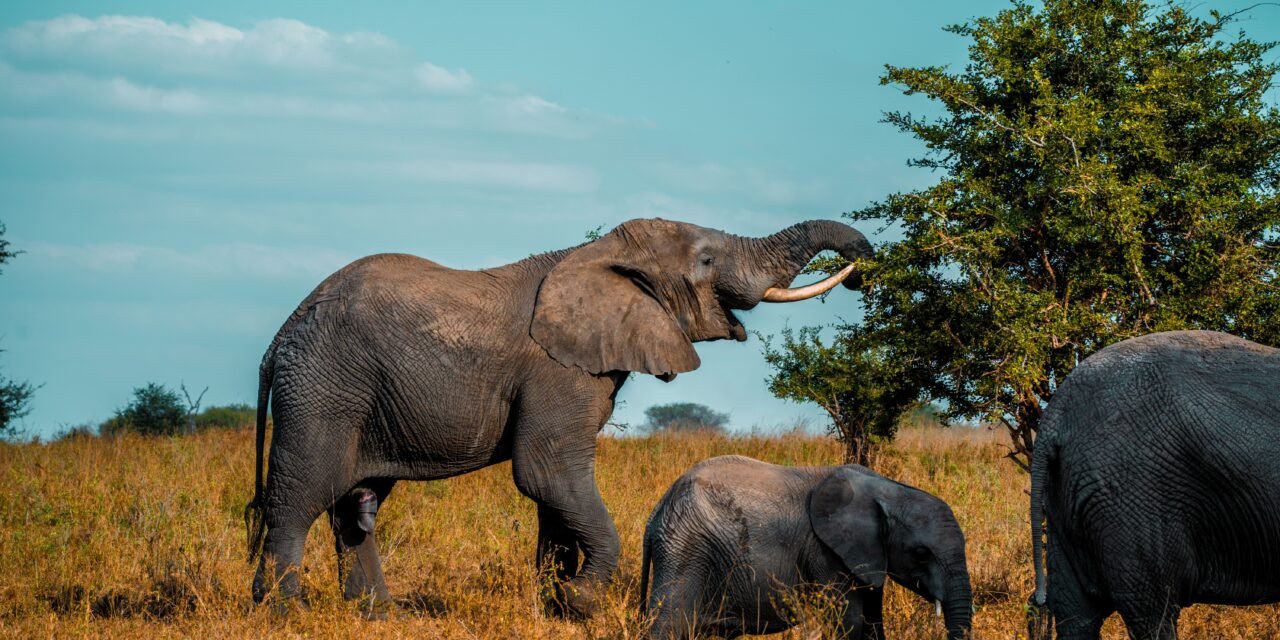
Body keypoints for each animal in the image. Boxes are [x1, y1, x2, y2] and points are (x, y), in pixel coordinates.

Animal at [242, 217, 873, 617]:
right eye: (707, 260)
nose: (864, 268)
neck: (598, 255)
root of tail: (278, 338)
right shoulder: (556, 370)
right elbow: (548, 474)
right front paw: (582, 602)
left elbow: (555, 492)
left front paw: (556, 606)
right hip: (323, 388)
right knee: (300, 497)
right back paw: (283, 615)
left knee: (355, 505)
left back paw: (380, 617)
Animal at [640, 455, 973, 639]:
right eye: (921, 553)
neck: (886, 489)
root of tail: (656, 513)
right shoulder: (825, 552)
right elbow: (849, 623)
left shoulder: (867, 558)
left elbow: (872, 623)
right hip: (685, 549)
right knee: (667, 626)